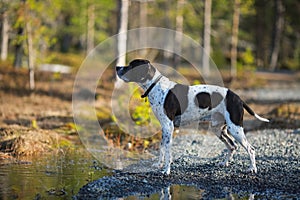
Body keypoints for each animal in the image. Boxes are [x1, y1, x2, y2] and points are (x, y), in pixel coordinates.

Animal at [115, 58, 270, 174]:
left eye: (131, 66)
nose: (117, 67)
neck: (156, 86)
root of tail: (237, 97)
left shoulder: (169, 126)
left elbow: (168, 150)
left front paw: (166, 170)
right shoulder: (164, 127)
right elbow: (162, 147)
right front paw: (159, 165)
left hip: (236, 128)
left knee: (250, 149)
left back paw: (252, 168)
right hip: (218, 129)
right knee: (232, 146)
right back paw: (224, 163)